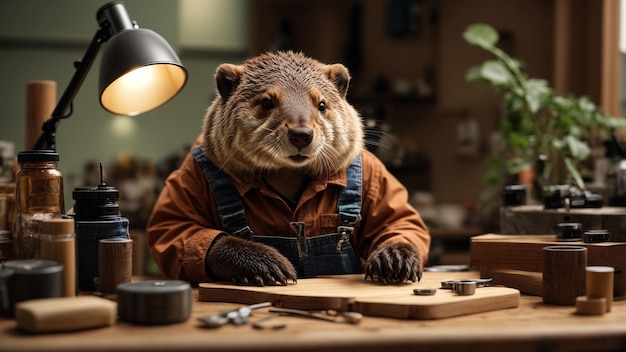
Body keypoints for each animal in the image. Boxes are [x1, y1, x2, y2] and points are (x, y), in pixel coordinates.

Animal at [147, 50, 428, 286]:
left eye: (321, 104)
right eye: (267, 102)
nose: (301, 134)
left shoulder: (373, 171)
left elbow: (400, 221)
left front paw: (395, 258)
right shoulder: (192, 170)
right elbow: (175, 228)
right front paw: (265, 263)